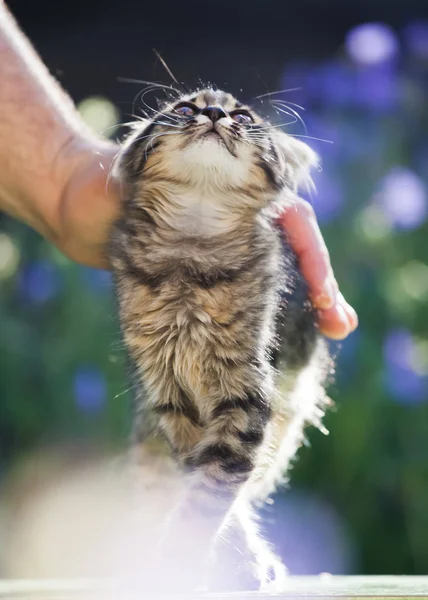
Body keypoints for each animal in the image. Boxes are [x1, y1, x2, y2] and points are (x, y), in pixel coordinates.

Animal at [108, 89, 332, 592]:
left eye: (243, 117)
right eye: (185, 109)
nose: (214, 113)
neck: (192, 250)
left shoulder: (247, 393)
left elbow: (213, 490)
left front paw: (188, 557)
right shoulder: (171, 394)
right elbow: (205, 483)